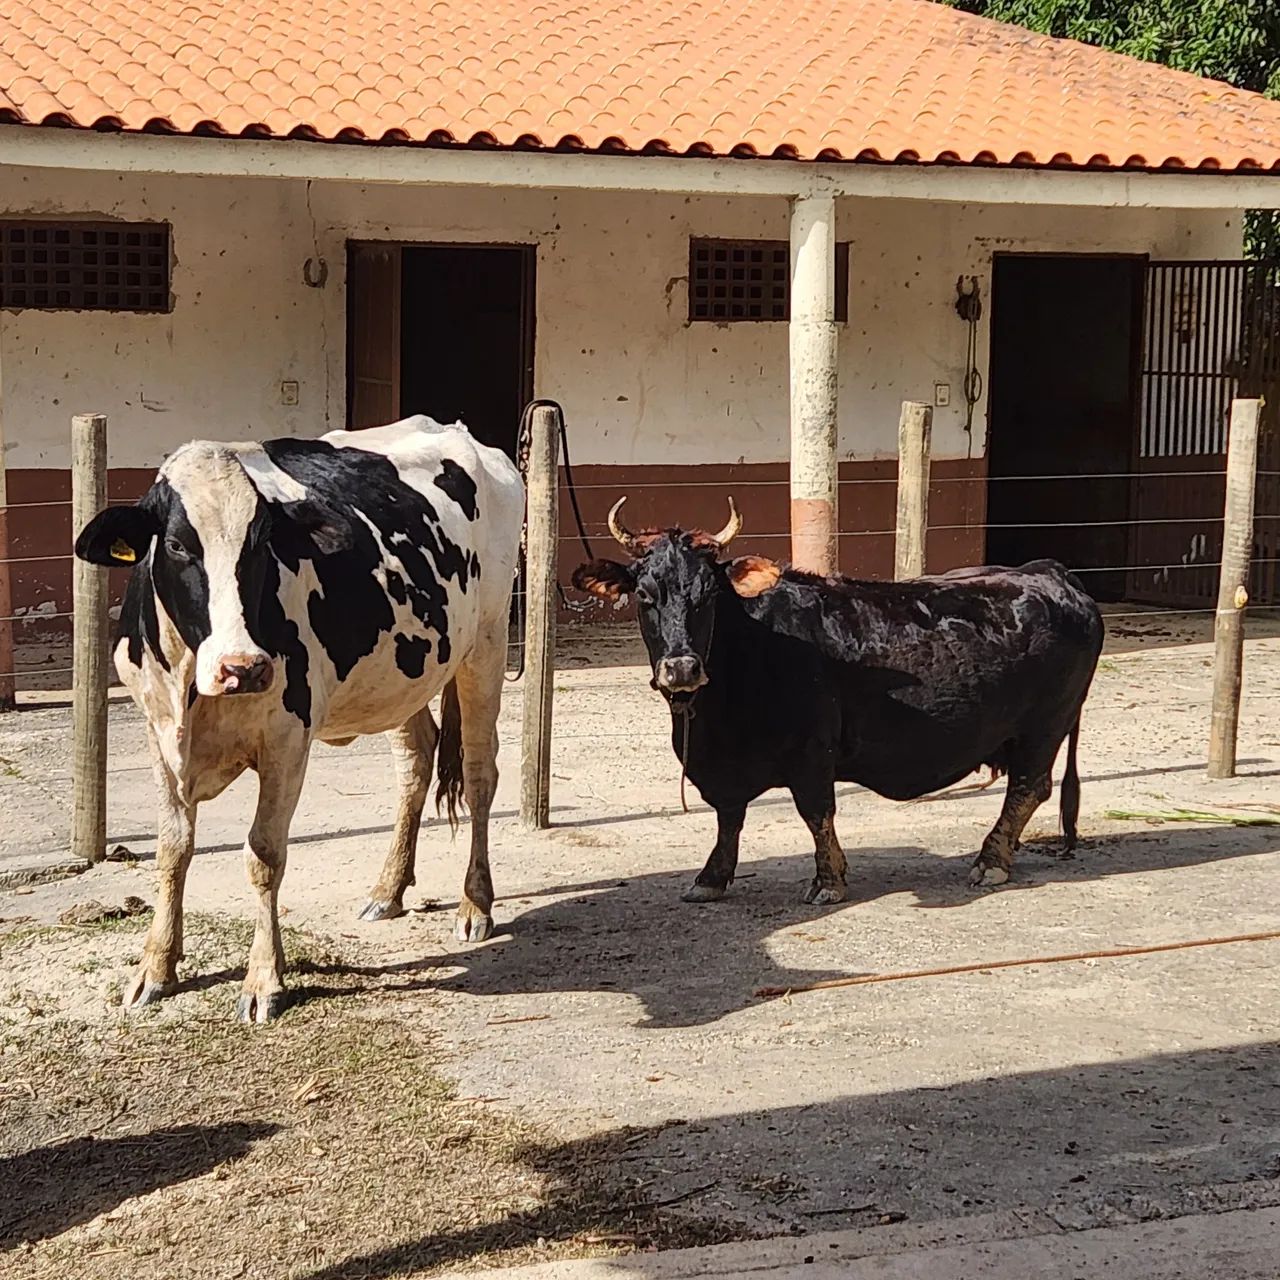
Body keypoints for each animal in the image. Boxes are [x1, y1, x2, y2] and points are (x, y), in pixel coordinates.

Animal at [73, 416, 523, 1021]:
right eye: (175, 544)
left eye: (262, 545)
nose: (243, 668)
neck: (193, 686)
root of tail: (458, 432)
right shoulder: (157, 733)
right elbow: (172, 849)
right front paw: (156, 967)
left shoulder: (287, 739)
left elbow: (264, 854)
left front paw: (264, 978)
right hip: (400, 674)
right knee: (416, 759)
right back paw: (388, 889)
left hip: (487, 645)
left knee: (478, 775)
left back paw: (475, 903)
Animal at [572, 499, 1104, 904]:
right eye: (645, 595)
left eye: (709, 595)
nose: (681, 668)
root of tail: (1047, 573)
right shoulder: (723, 767)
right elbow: (729, 816)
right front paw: (711, 878)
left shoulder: (812, 751)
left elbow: (816, 813)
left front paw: (828, 881)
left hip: (1044, 727)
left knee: (1028, 789)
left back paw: (990, 861)